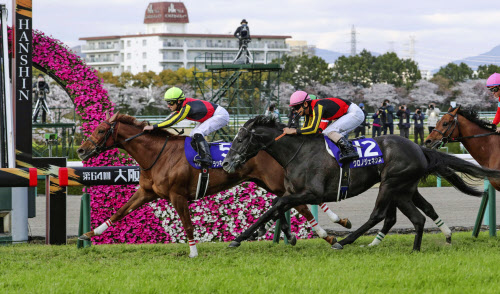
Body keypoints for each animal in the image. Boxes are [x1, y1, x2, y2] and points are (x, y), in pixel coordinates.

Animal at [75, 112, 348, 258]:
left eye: (101, 130)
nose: (81, 150)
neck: (158, 155)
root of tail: (274, 143)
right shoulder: (146, 192)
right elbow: (120, 212)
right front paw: (91, 233)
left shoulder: (177, 196)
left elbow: (187, 225)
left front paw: (193, 252)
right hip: (267, 183)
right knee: (291, 204)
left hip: (275, 183)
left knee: (301, 205)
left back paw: (331, 230)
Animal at [223, 115, 500, 250]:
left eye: (240, 139)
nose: (226, 164)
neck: (297, 151)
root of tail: (420, 148)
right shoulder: (293, 192)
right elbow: (276, 207)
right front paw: (250, 235)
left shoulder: (311, 193)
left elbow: (277, 205)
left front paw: (241, 237)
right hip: (402, 189)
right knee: (418, 216)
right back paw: (417, 247)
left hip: (391, 185)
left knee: (380, 215)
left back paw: (344, 242)